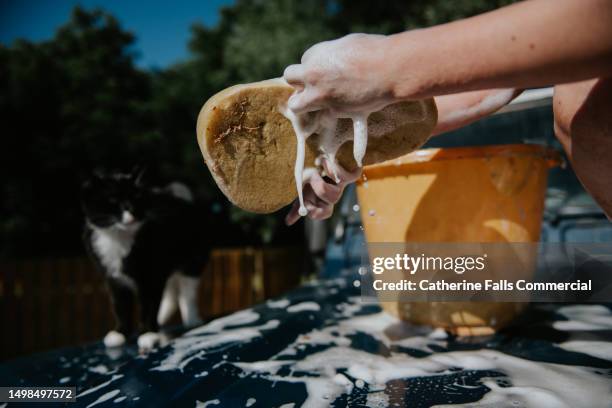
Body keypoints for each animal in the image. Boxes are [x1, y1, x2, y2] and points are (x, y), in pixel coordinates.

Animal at [82, 169, 210, 350]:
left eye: (136, 198)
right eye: (113, 200)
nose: (131, 211)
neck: (119, 238)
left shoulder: (151, 277)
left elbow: (149, 306)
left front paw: (148, 333)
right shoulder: (114, 280)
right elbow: (121, 306)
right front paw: (121, 333)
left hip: (193, 261)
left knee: (187, 291)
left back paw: (191, 319)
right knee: (171, 294)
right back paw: (161, 320)